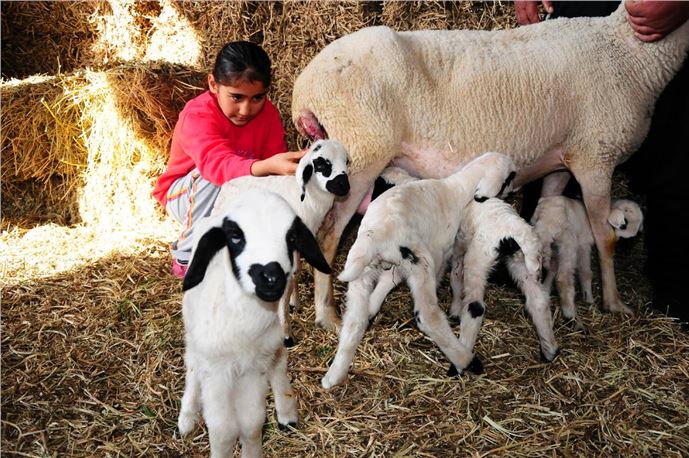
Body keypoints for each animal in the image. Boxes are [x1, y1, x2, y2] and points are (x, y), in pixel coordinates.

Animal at [176, 188, 330, 456]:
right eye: (235, 236)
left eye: (292, 237)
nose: (271, 277)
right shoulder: (216, 373)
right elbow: (224, 432)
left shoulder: (254, 369)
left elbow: (251, 424)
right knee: (192, 362)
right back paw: (187, 416)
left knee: (279, 361)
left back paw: (286, 411)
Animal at [211, 140, 350, 348]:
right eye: (321, 163)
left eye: (346, 161)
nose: (344, 186)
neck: (310, 200)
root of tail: (225, 188)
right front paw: (286, 336)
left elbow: (296, 273)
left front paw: (294, 303)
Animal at [320, 152, 512, 388]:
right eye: (510, 176)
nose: (511, 192)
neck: (456, 189)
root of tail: (375, 235)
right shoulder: (439, 252)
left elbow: (387, 283)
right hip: (420, 263)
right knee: (427, 317)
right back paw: (467, 361)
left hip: (362, 270)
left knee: (355, 320)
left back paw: (333, 375)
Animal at [532, 195, 644, 330]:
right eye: (624, 225)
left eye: (636, 234)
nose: (625, 252)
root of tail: (547, 219)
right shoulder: (583, 245)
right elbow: (585, 273)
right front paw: (589, 299)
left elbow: (553, 268)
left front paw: (546, 290)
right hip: (569, 242)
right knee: (563, 280)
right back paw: (573, 318)